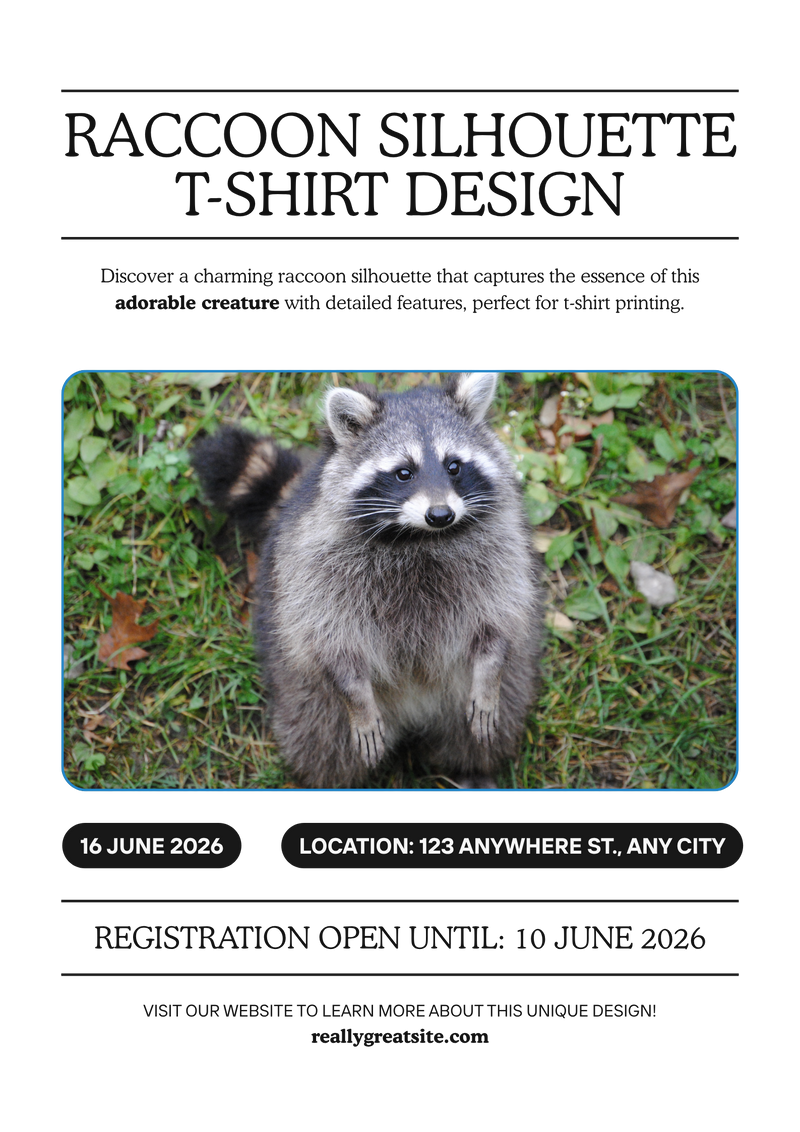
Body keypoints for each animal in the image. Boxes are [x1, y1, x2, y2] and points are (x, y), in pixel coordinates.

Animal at [192, 371, 542, 788]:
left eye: (454, 466)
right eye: (404, 472)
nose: (441, 514)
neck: (419, 538)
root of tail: (414, 715)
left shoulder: (500, 547)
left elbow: (499, 618)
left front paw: (489, 672)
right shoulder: (315, 565)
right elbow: (331, 637)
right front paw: (355, 693)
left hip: (495, 689)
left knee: (483, 726)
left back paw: (472, 766)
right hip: (306, 693)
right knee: (321, 740)